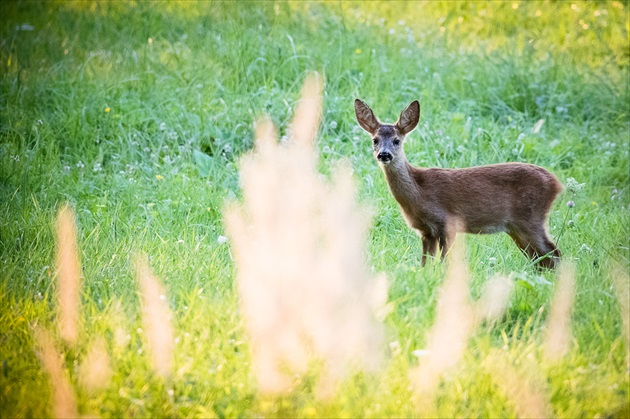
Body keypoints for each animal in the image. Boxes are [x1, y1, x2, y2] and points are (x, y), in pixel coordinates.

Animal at [354, 99, 564, 270]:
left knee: (554, 254)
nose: (384, 154)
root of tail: (556, 183)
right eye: (375, 140)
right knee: (542, 259)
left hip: (530, 218)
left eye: (397, 141)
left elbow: (444, 261)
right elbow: (425, 263)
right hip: (518, 228)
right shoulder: (426, 231)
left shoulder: (447, 223)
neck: (419, 193)